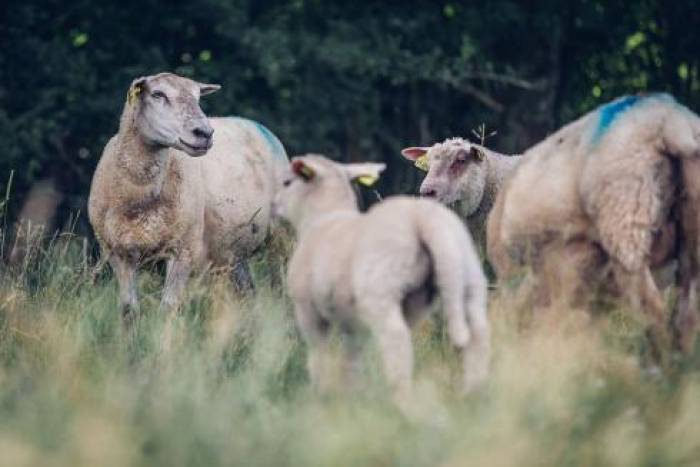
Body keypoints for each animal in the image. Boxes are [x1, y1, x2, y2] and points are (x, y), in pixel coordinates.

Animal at [89, 74, 288, 322]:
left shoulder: (183, 249)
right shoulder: (118, 253)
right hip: (231, 250)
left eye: (198, 97)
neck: (140, 198)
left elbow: (168, 308)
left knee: (282, 290)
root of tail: (252, 122)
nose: (205, 133)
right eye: (158, 94)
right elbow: (128, 310)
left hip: (281, 237)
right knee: (248, 294)